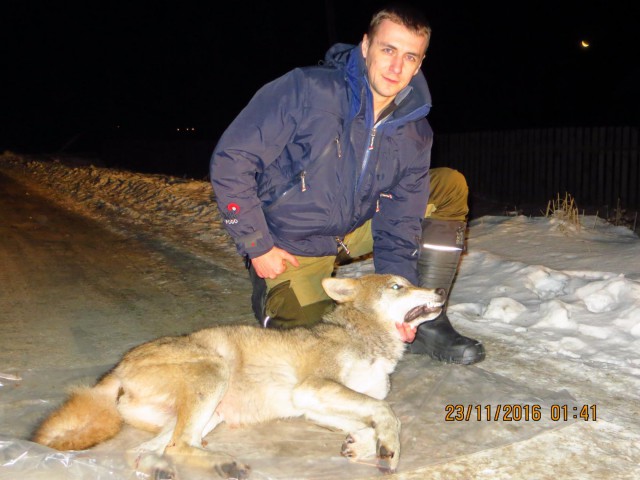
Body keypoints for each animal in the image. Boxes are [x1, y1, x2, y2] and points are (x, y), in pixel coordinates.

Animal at [31, 274, 444, 476]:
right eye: (398, 286)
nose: (441, 290)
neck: (362, 335)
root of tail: (118, 366)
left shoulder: (313, 403)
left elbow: (369, 418)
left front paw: (360, 445)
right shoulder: (313, 388)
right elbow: (388, 415)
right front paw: (387, 449)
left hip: (209, 415)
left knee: (147, 450)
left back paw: (163, 469)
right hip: (214, 376)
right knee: (178, 446)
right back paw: (222, 465)